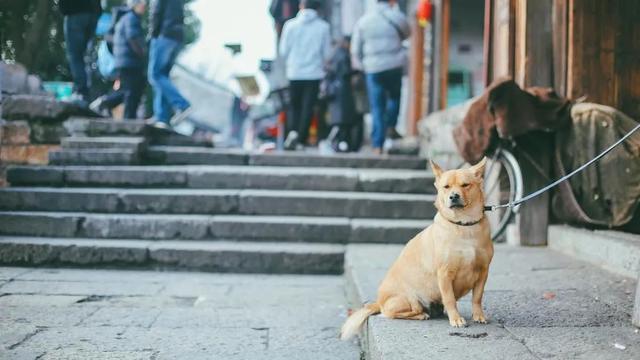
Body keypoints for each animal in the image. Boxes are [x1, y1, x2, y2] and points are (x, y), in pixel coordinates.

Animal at [340, 158, 496, 340]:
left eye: (465, 185)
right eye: (446, 187)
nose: (454, 196)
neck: (464, 225)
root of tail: (379, 302)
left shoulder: (483, 272)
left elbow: (477, 297)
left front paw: (478, 316)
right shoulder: (445, 274)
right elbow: (450, 299)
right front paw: (456, 319)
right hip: (409, 299)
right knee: (392, 313)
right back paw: (422, 315)